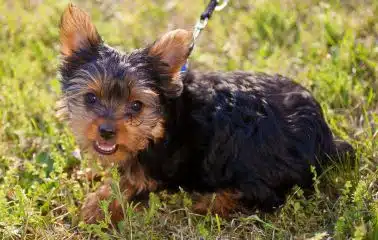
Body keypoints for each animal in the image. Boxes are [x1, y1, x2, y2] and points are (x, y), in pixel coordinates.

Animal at [57, 3, 352, 224]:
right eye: (91, 98)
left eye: (136, 105)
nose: (107, 130)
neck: (161, 123)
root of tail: (325, 136)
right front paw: (87, 173)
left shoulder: (157, 168)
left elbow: (128, 184)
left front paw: (97, 206)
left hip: (254, 153)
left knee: (264, 194)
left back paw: (210, 202)